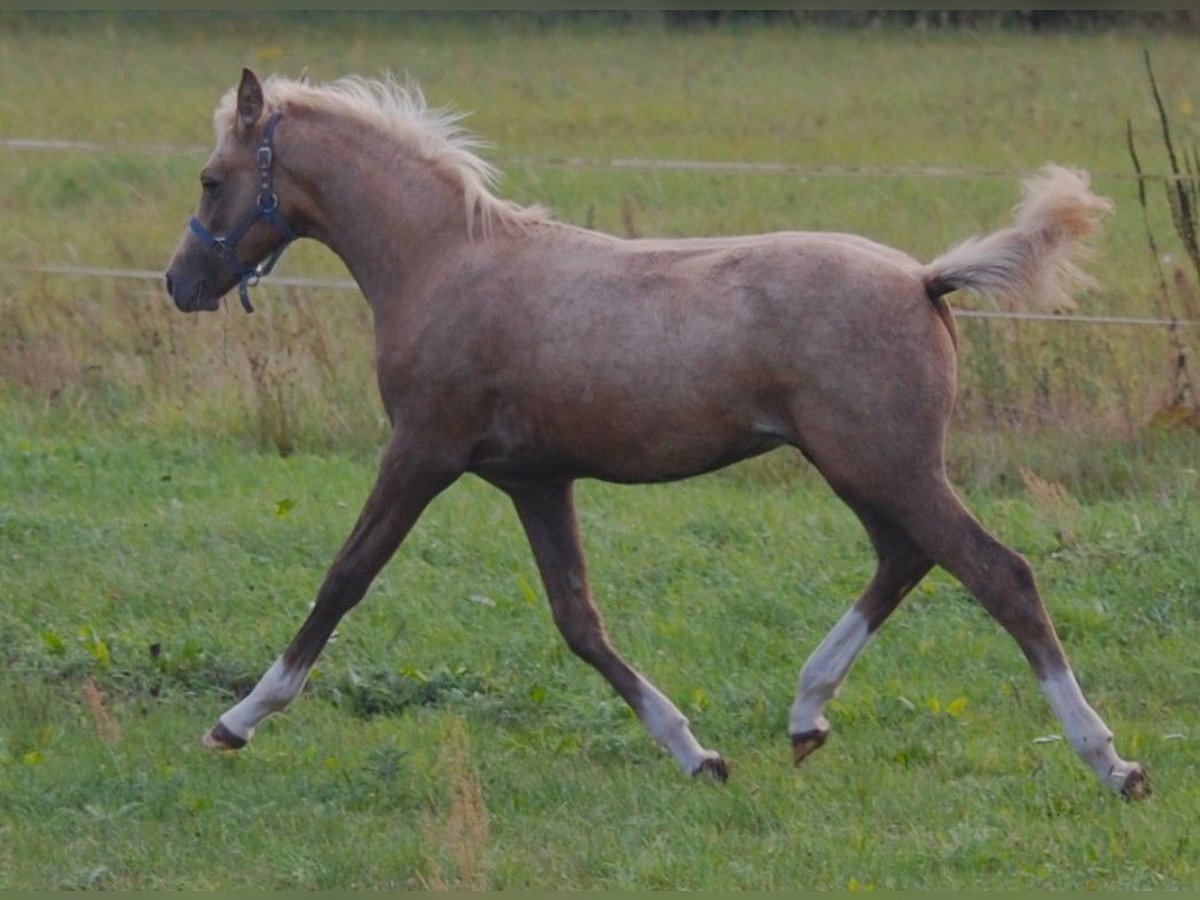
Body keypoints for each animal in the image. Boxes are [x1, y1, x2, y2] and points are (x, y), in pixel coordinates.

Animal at [164, 72, 1147, 801]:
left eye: (212, 178)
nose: (180, 283)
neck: (444, 263)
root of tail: (923, 277)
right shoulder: (535, 480)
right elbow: (579, 621)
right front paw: (697, 753)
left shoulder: (421, 454)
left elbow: (344, 580)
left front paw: (237, 720)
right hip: (863, 470)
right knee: (905, 560)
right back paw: (805, 717)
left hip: (887, 465)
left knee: (997, 574)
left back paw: (1111, 763)